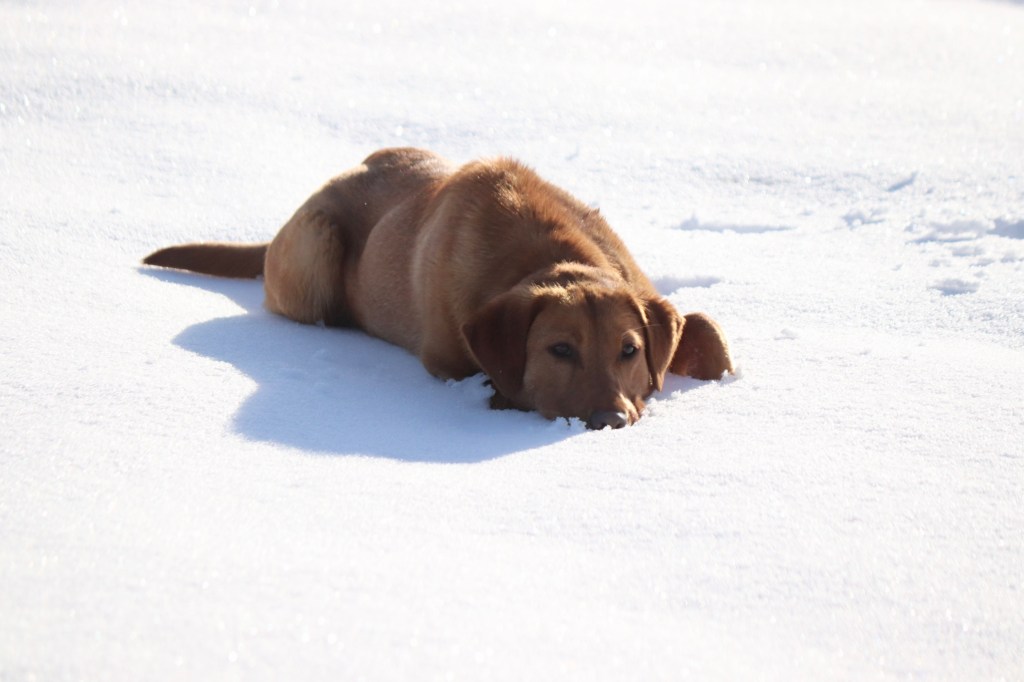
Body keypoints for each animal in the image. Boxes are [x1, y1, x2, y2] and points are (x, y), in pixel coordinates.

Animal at [144, 148, 732, 429]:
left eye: (629, 351)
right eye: (559, 350)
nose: (610, 421)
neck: (546, 254)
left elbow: (707, 331)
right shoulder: (448, 358)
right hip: (315, 249)